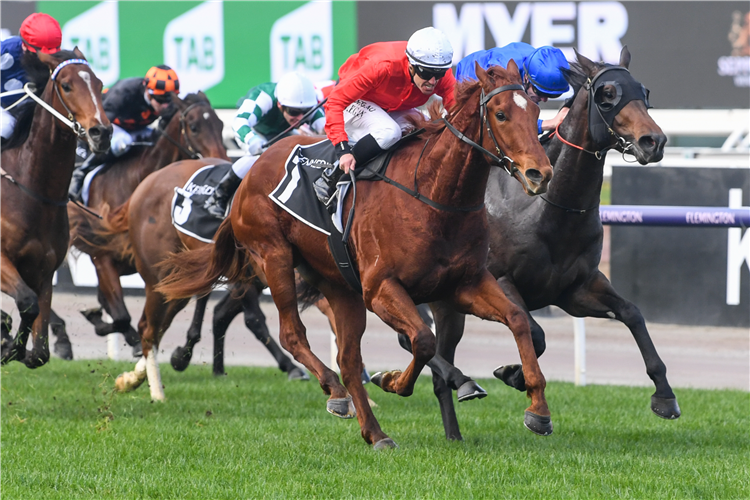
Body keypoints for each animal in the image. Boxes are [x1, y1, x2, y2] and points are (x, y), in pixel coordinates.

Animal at [0, 48, 111, 366]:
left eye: (99, 84)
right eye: (67, 85)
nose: (101, 132)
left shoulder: (44, 272)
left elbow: (39, 352)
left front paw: (15, 347)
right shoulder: (2, 261)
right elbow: (26, 303)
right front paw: (7, 343)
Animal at [66, 92, 228, 354]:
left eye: (220, 124)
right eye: (194, 127)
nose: (223, 161)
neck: (136, 178)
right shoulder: (103, 257)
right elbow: (121, 315)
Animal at [90, 158, 308, 396]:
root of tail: (147, 182)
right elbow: (254, 319)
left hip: (178, 282)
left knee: (159, 325)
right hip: (159, 275)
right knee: (148, 326)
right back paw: (157, 391)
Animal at [159, 62, 556, 450]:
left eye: (536, 111)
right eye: (501, 114)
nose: (540, 173)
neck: (433, 195)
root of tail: (251, 173)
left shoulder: (464, 284)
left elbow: (518, 320)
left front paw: (537, 408)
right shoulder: (381, 289)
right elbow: (423, 340)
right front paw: (392, 380)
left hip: (339, 286)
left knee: (348, 360)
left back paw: (375, 433)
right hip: (274, 257)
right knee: (293, 334)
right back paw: (334, 390)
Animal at [412, 48, 680, 442]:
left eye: (643, 91)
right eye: (607, 94)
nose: (653, 141)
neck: (543, 209)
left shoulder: (575, 289)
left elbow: (632, 313)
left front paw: (664, 395)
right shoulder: (501, 279)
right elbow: (534, 332)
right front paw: (517, 378)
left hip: (449, 303)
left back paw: (453, 430)